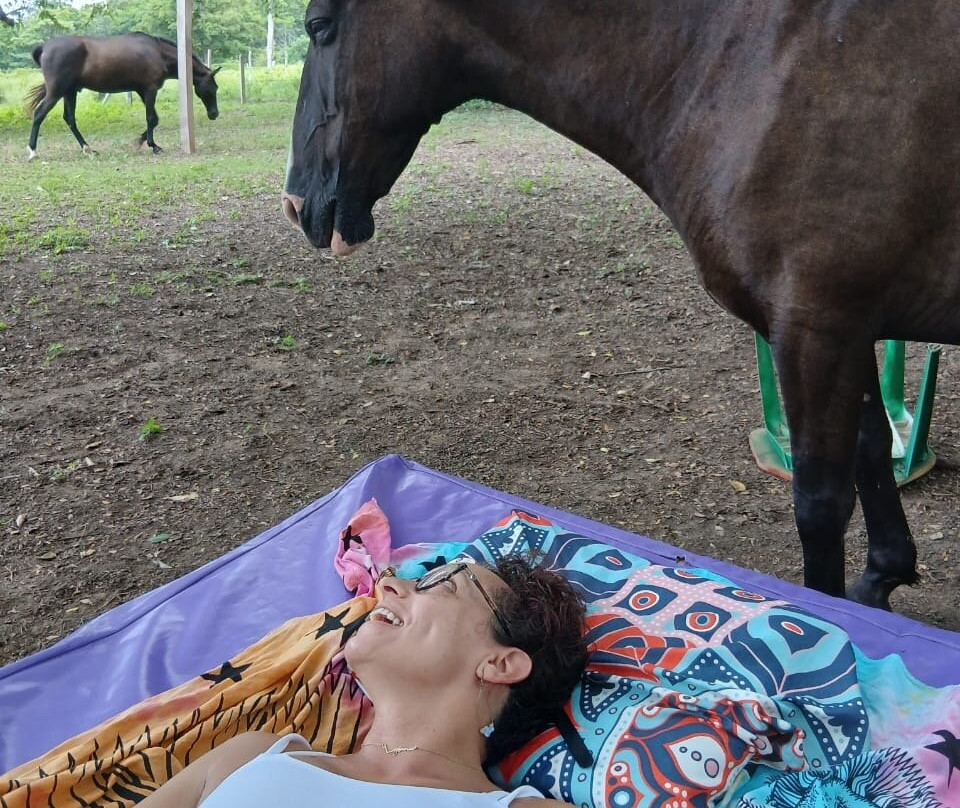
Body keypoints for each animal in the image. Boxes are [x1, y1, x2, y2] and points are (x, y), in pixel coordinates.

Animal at [25, 32, 220, 161]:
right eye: (213, 88)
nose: (214, 114)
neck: (158, 53)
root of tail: (45, 47)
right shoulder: (150, 89)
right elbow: (151, 118)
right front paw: (153, 146)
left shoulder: (142, 91)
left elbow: (154, 119)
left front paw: (140, 141)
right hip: (56, 92)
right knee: (39, 114)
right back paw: (32, 151)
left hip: (69, 92)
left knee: (69, 119)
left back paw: (88, 149)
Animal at [281, 0, 960, 611]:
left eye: (319, 26)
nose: (294, 204)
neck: (748, 66)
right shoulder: (848, 328)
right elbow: (873, 447)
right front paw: (881, 578)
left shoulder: (816, 326)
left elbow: (820, 503)